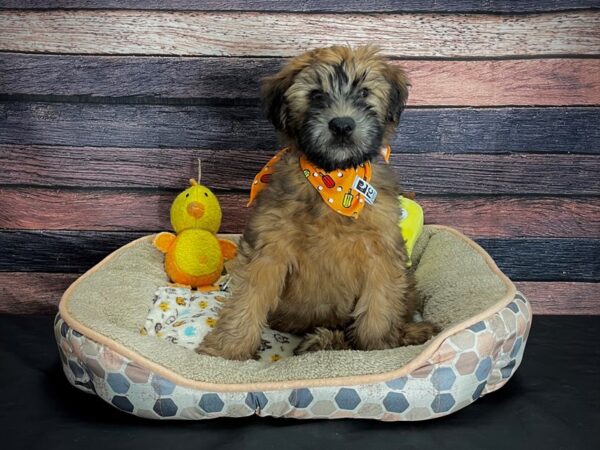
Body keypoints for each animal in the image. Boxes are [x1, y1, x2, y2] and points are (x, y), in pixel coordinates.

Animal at [199, 44, 438, 362]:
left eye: (364, 92)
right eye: (315, 95)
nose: (342, 125)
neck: (333, 179)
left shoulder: (381, 250)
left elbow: (379, 304)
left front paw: (375, 349)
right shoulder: (269, 246)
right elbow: (248, 297)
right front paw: (226, 349)